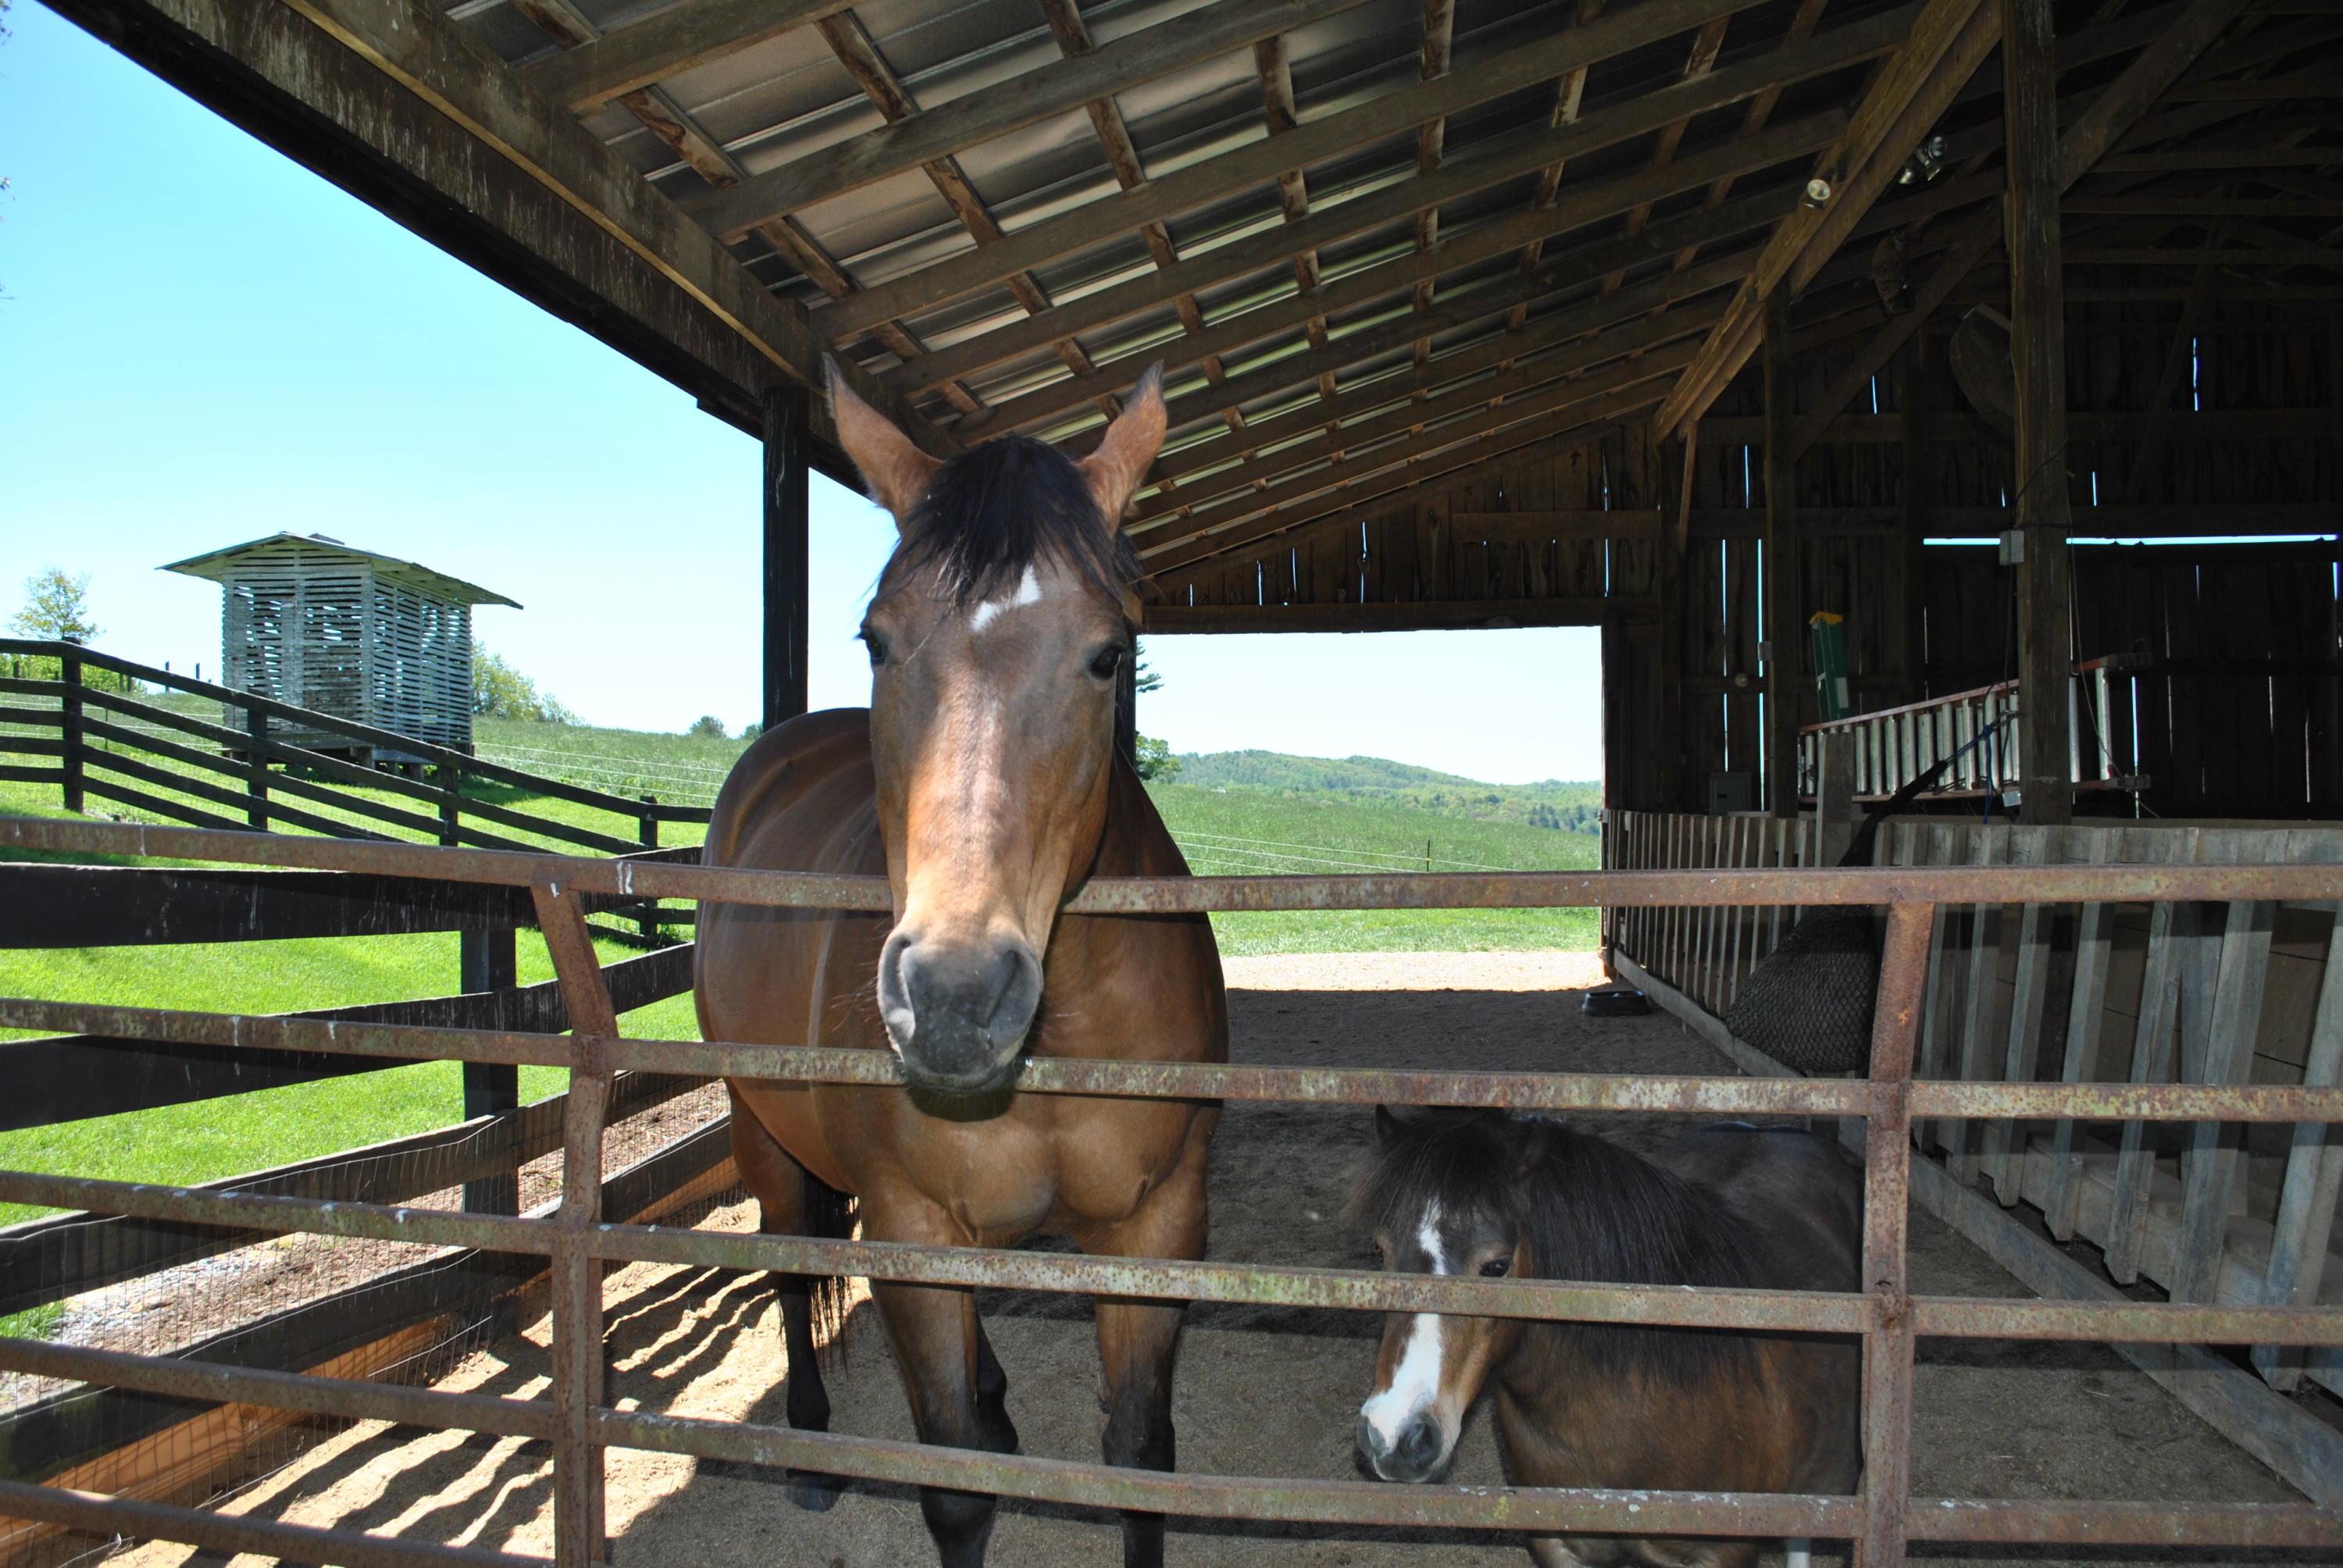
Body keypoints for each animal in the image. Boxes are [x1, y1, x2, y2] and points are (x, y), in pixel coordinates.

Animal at [695, 365, 1227, 1568]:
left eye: (1110, 653)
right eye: (876, 641)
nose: (953, 997)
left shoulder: (1158, 1230)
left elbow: (1141, 1458)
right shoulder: (911, 1234)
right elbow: (956, 1490)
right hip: (764, 1134)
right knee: (790, 1262)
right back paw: (810, 1445)